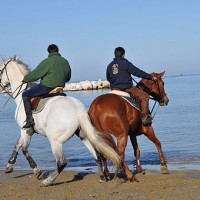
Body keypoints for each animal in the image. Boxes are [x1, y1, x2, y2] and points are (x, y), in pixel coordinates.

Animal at [0, 56, 120, 186]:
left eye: (0, 70)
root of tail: (78, 110)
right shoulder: (28, 131)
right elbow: (17, 145)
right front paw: (9, 165)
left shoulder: (26, 130)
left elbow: (24, 149)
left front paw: (37, 171)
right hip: (83, 135)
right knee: (97, 155)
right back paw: (102, 177)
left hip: (55, 141)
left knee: (61, 162)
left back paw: (48, 181)